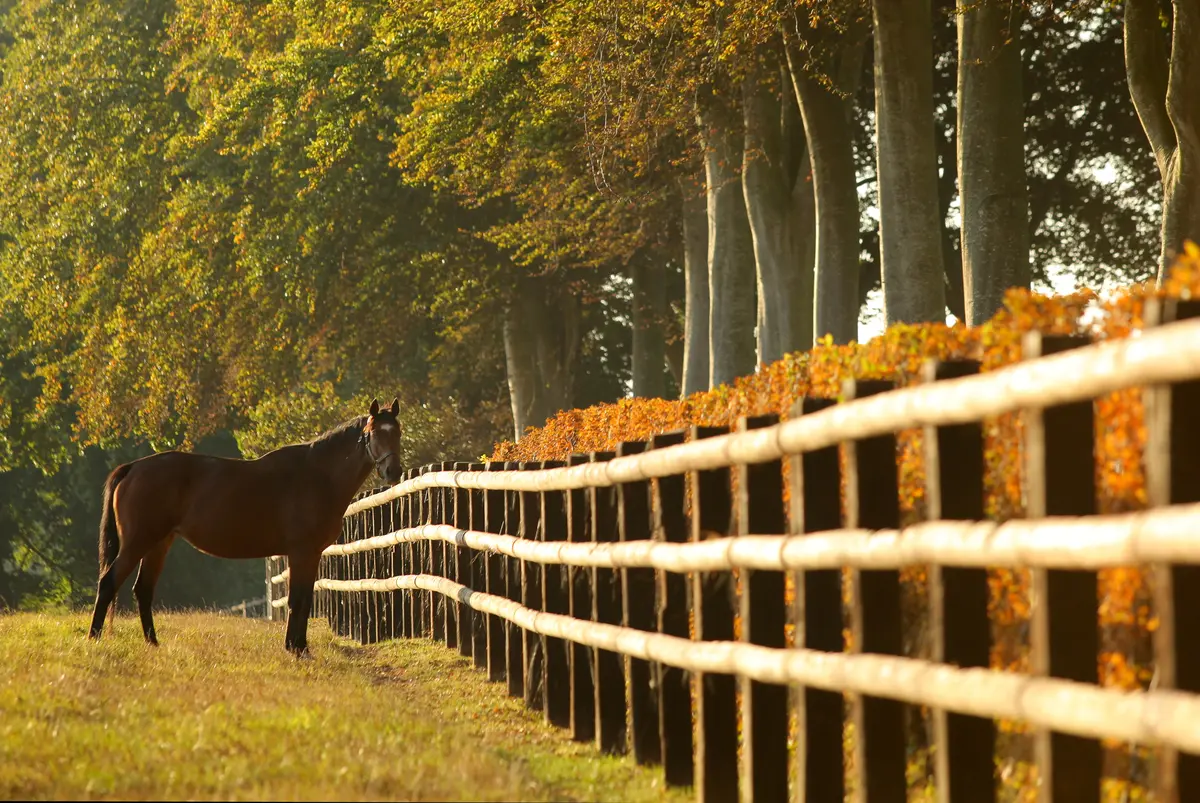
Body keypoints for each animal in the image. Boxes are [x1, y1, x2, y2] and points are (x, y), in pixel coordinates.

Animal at [87, 397, 404, 656]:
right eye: (374, 433)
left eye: (398, 433)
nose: (393, 471)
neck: (317, 476)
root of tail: (133, 467)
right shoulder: (301, 552)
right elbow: (297, 600)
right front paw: (296, 649)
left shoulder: (311, 554)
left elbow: (304, 599)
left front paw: (299, 646)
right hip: (138, 542)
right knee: (108, 582)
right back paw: (94, 638)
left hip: (158, 543)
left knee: (143, 590)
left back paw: (152, 643)